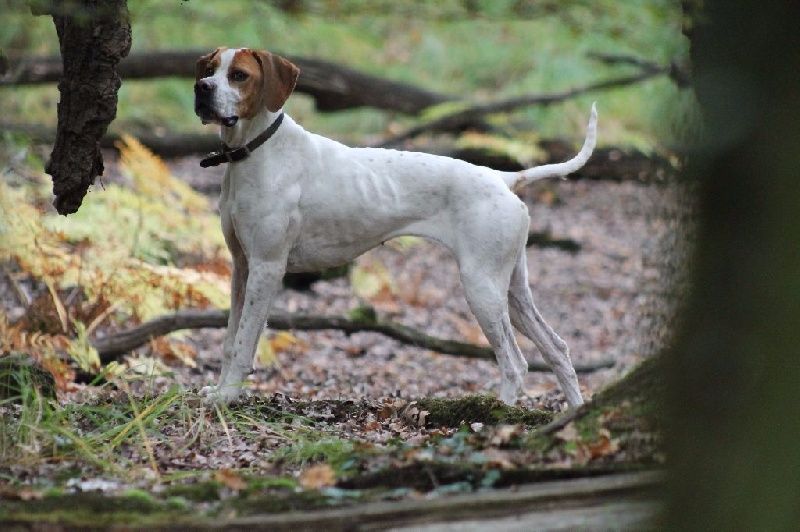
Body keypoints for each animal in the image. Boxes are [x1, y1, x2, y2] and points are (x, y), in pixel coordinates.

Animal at [192, 48, 592, 408]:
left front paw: (227, 399)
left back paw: (502, 413)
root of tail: (502, 177)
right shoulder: (242, 268)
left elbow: (244, 342)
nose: (202, 87)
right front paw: (219, 390)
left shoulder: (267, 268)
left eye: (239, 75)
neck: (258, 152)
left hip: (482, 288)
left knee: (515, 363)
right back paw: (573, 415)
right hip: (511, 291)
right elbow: (229, 339)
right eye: (210, 69)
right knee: (557, 349)